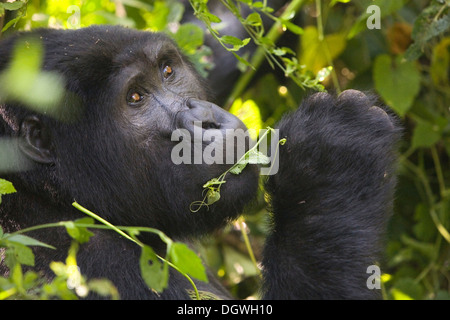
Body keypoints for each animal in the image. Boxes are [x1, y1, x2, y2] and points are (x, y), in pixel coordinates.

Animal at [0, 25, 400, 300]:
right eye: (135, 97)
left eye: (167, 71)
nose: (206, 121)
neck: (48, 196)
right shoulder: (94, 266)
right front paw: (331, 160)